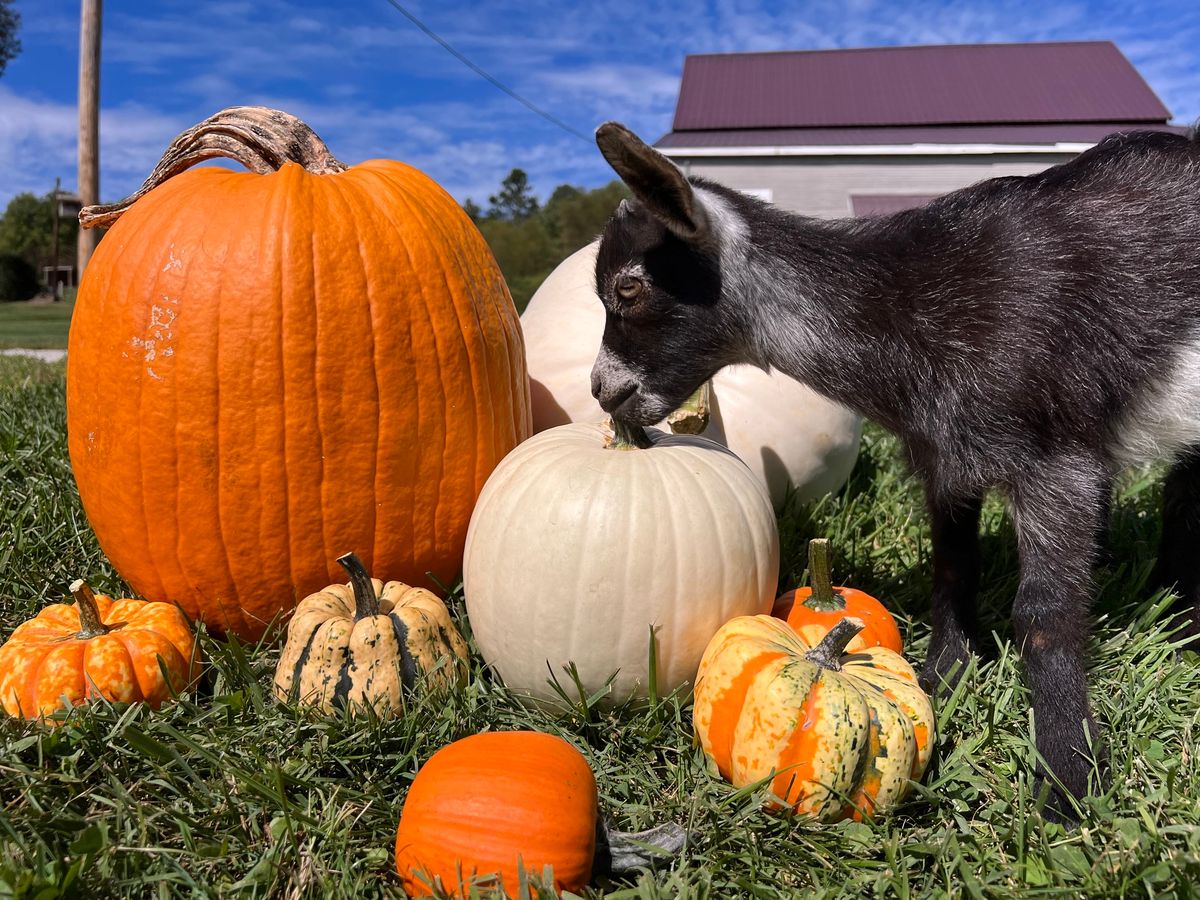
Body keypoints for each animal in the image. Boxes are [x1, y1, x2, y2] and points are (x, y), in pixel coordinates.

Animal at [590, 120, 1200, 816]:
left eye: (629, 288)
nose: (601, 392)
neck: (910, 308)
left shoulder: (1060, 457)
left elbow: (1043, 614)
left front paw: (1067, 779)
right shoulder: (944, 454)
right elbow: (953, 567)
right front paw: (944, 678)